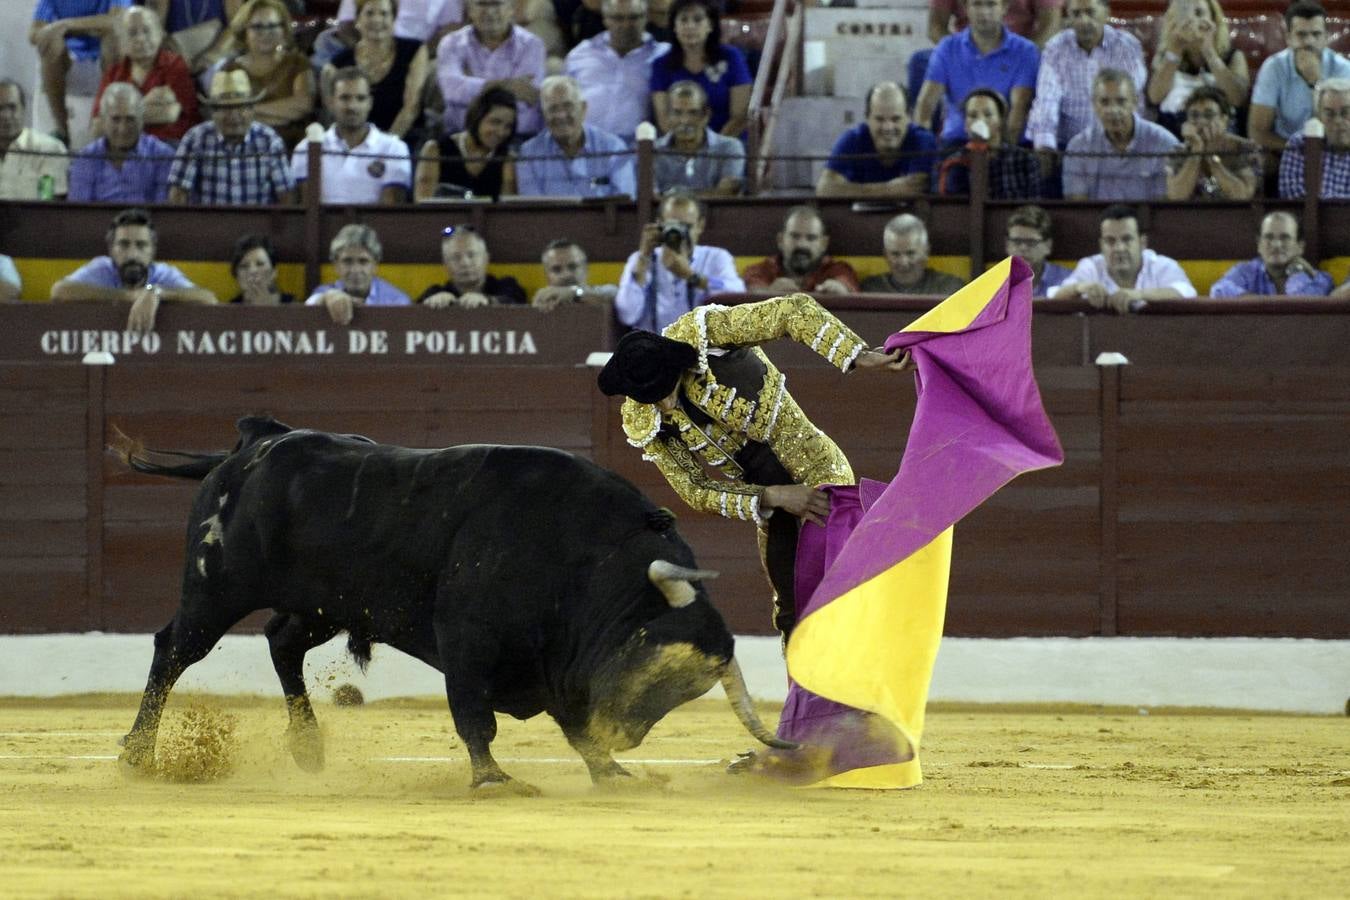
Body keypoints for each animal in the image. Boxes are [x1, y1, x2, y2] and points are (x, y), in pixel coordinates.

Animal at [118, 418, 788, 793]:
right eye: (652, 656)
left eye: (684, 691)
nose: (624, 736)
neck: (582, 555)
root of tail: (260, 440)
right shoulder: (468, 642)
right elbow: (476, 718)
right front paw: (493, 780)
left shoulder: (560, 666)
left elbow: (574, 727)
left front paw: (613, 774)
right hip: (218, 587)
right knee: (173, 650)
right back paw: (137, 755)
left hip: (328, 605)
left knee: (281, 641)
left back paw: (308, 749)